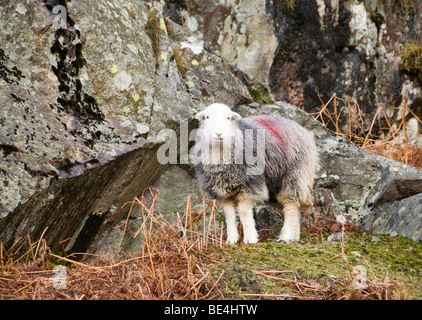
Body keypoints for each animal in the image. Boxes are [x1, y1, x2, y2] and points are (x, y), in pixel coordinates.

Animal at [193, 102, 318, 245]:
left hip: (296, 175)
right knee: (295, 207)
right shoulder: (222, 192)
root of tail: (301, 128)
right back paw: (294, 237)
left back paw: (285, 237)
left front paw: (250, 239)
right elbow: (229, 215)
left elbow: (243, 212)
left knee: (291, 205)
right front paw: (231, 240)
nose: (219, 133)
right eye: (207, 117)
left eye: (228, 118)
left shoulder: (250, 185)